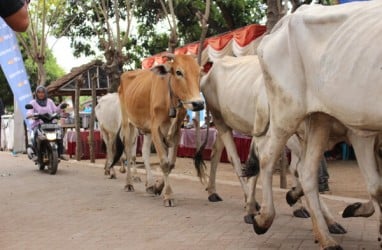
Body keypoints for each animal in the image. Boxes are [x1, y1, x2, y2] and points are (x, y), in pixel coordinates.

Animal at [109, 53, 204, 206]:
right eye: (178, 72)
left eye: (199, 73)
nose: (198, 103)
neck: (170, 100)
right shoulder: (156, 129)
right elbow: (164, 163)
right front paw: (168, 196)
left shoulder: (175, 132)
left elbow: (171, 163)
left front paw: (158, 187)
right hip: (128, 124)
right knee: (129, 152)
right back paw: (129, 183)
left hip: (145, 130)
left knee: (145, 152)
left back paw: (150, 184)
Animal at [254, 1, 382, 248]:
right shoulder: (361, 131)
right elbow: (376, 186)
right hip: (287, 113)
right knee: (267, 158)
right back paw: (263, 219)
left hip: (319, 119)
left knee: (305, 171)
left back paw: (324, 233)